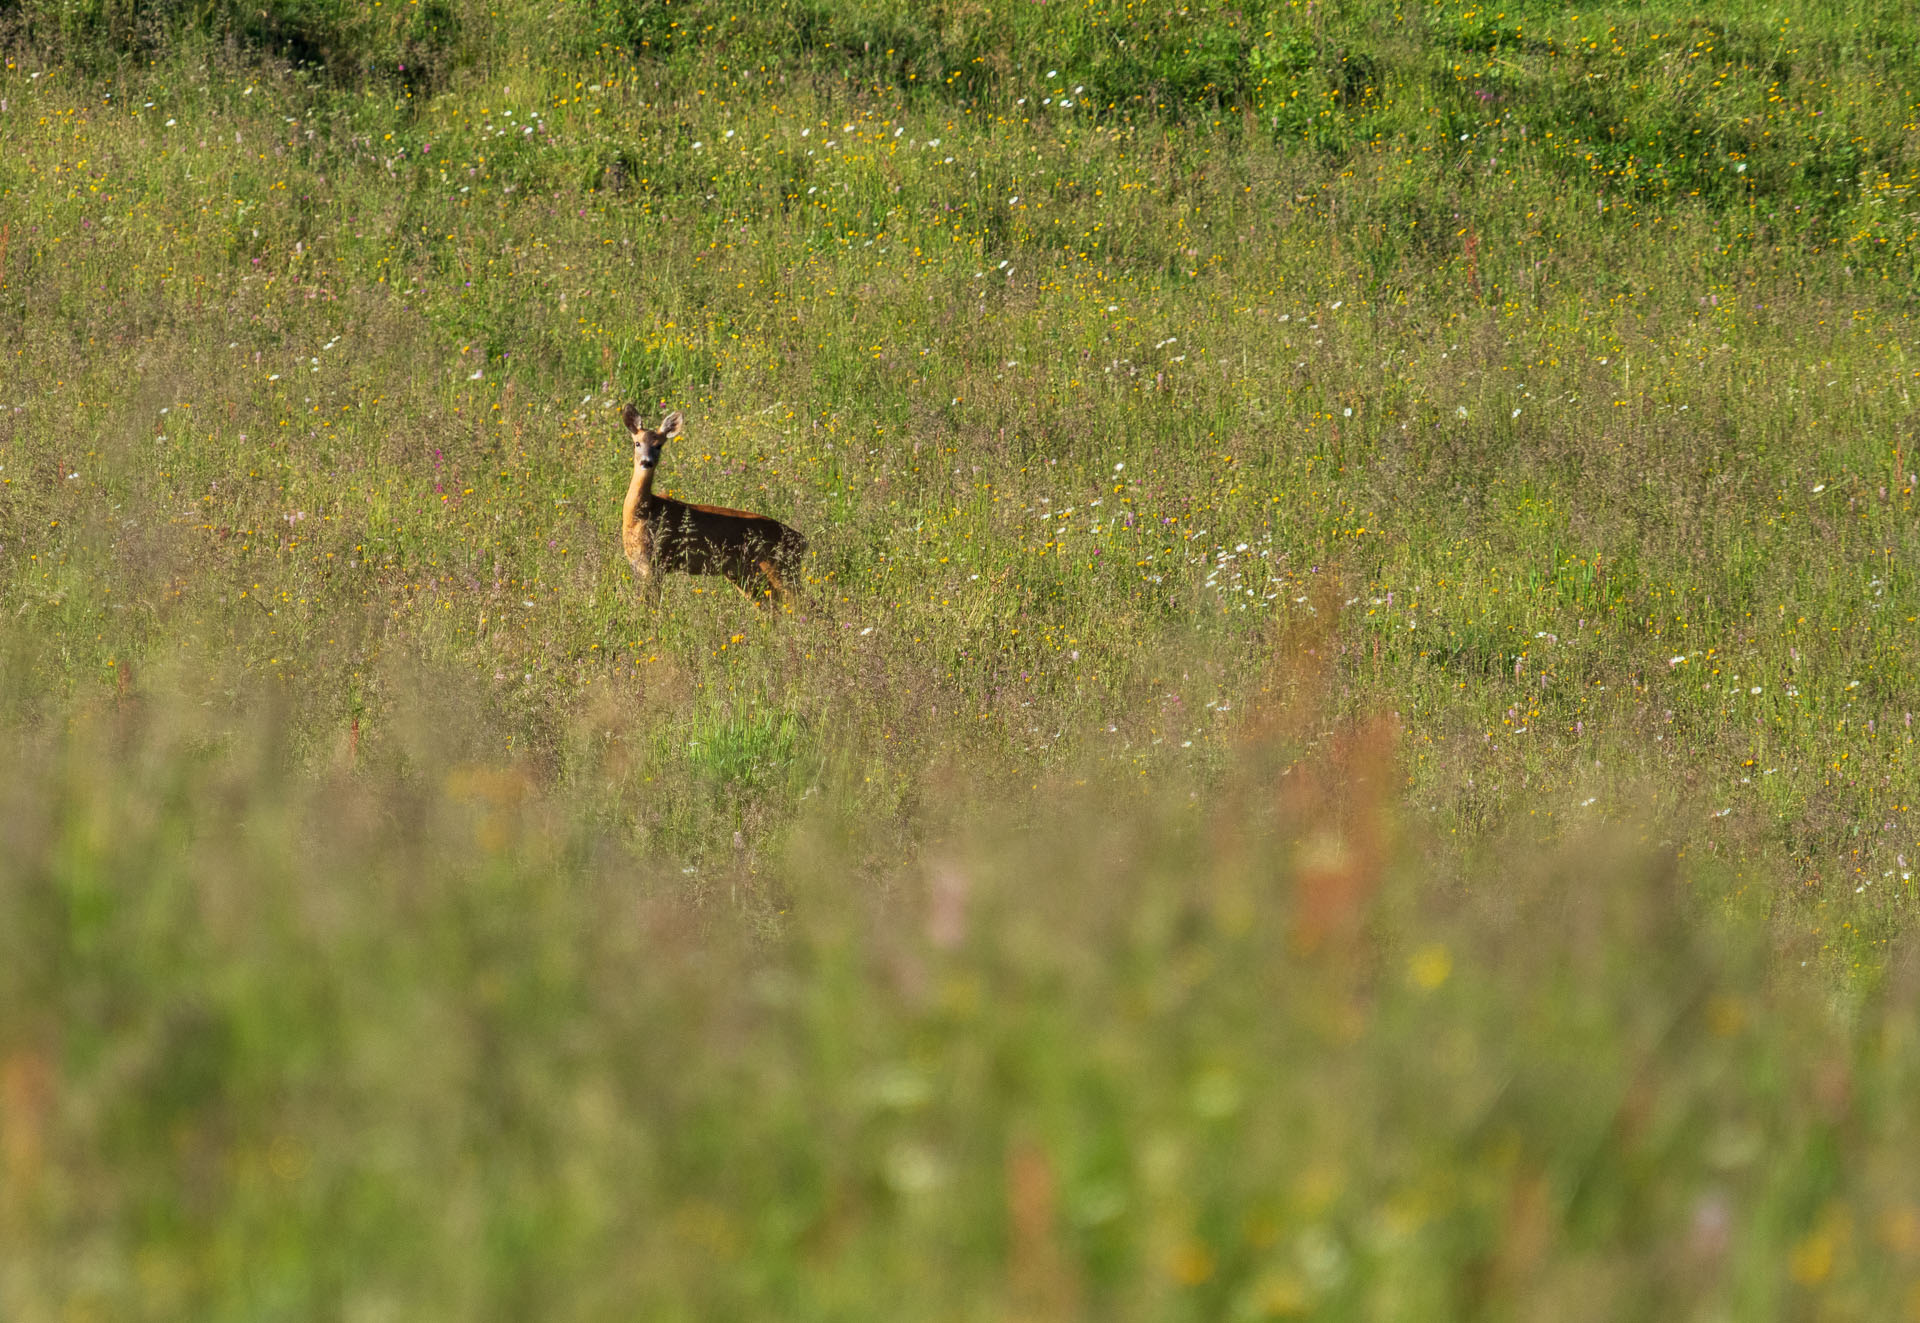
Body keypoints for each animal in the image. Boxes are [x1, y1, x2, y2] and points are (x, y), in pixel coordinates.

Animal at [618, 405, 806, 606]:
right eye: (637, 443)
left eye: (658, 445)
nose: (646, 462)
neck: (642, 513)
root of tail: (803, 541)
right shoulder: (640, 564)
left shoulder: (654, 561)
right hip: (747, 575)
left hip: (780, 568)